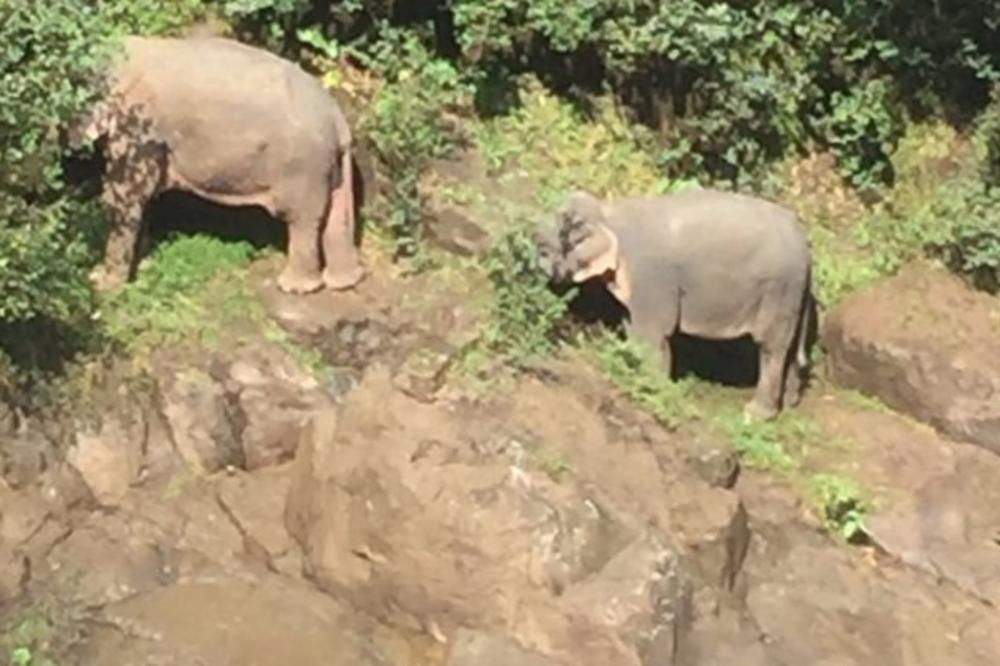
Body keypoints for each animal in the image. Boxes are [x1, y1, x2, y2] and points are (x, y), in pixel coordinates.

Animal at [71, 34, 368, 294]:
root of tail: (337, 118)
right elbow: (144, 193)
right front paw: (143, 263)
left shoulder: (139, 122)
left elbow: (127, 193)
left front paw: (101, 283)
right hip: (333, 165)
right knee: (337, 215)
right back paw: (344, 282)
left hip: (303, 167)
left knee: (302, 219)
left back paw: (294, 288)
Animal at [540, 185, 812, 420]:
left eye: (545, 248)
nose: (541, 268)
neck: (610, 213)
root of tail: (807, 249)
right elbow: (634, 330)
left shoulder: (651, 278)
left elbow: (652, 333)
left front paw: (651, 387)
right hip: (792, 293)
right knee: (788, 348)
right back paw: (790, 404)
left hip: (778, 289)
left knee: (771, 347)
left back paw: (757, 415)